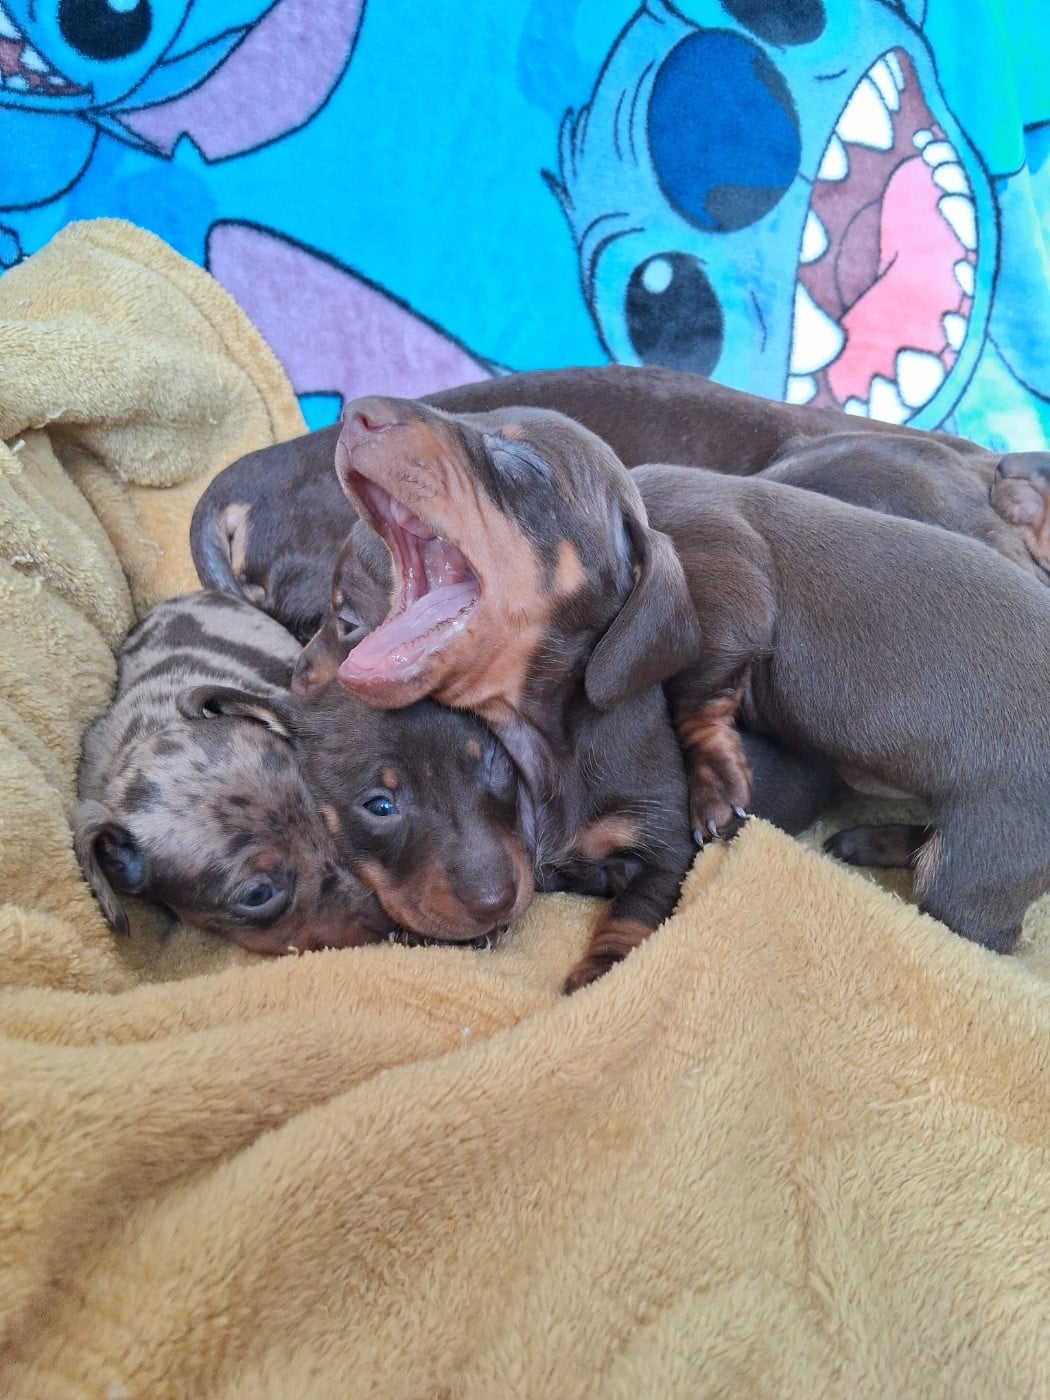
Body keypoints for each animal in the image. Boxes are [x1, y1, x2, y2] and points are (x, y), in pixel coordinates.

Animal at [333, 397, 1050, 985]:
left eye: (518, 461)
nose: (358, 412)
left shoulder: (727, 594)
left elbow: (694, 707)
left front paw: (712, 790)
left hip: (979, 863)